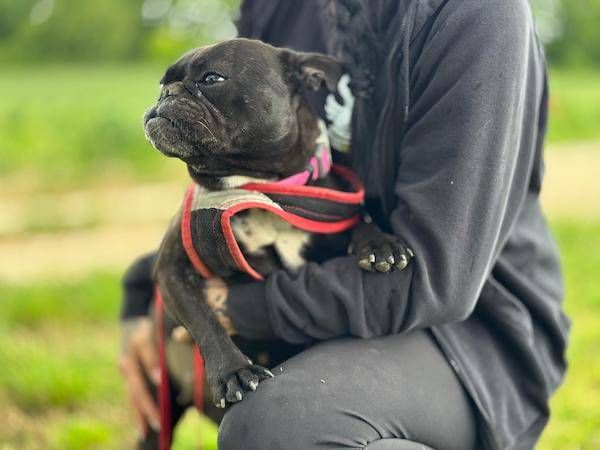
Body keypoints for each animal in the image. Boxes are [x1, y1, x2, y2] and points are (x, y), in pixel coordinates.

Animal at [144, 38, 413, 409]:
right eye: (162, 84)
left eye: (211, 78)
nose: (166, 93)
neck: (262, 189)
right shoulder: (171, 269)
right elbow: (204, 319)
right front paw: (233, 371)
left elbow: (360, 220)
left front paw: (380, 244)